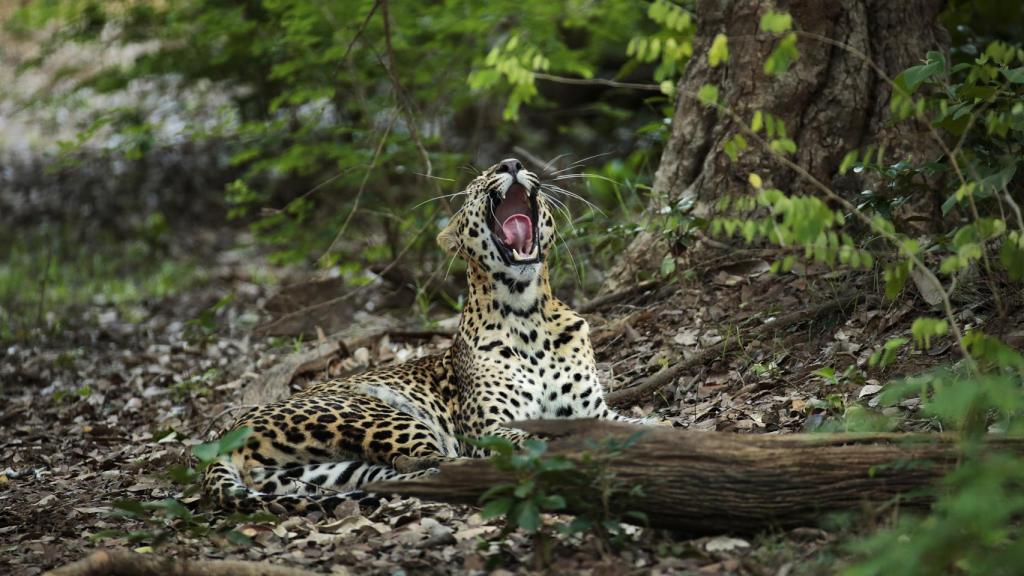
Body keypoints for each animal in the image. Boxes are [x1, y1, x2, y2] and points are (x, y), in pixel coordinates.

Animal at [203, 156, 651, 510]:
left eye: (515, 165)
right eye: (478, 183)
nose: (510, 164)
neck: (527, 315)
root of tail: (224, 435)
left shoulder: (593, 410)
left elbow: (640, 424)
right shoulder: (487, 428)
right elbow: (531, 436)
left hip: (328, 468)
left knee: (402, 470)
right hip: (380, 413)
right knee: (431, 460)